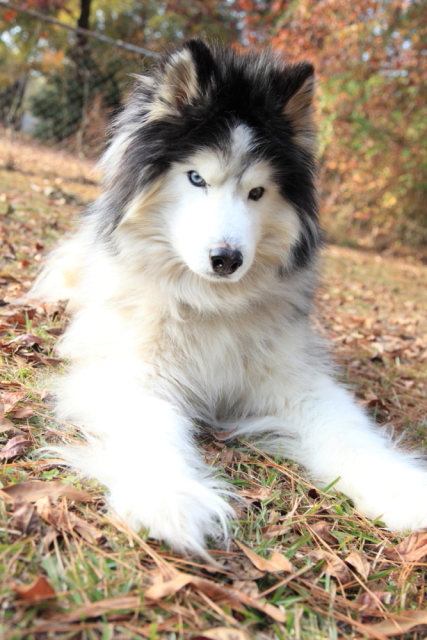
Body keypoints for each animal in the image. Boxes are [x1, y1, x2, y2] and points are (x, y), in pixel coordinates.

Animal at [30, 40, 427, 558]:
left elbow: (348, 432)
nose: (226, 259)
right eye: (196, 178)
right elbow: (149, 425)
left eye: (257, 191)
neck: (209, 301)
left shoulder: (296, 380)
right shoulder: (132, 373)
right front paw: (169, 496)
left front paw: (402, 488)